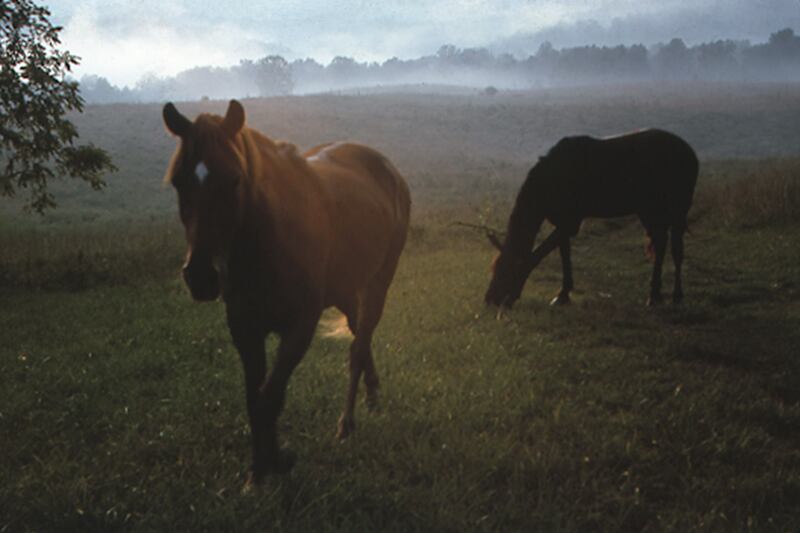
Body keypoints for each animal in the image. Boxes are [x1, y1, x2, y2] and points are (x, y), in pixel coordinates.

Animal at [163, 98, 412, 482]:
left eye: (234, 180)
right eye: (178, 181)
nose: (201, 276)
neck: (269, 240)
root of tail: (388, 168)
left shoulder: (299, 327)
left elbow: (271, 396)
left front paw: (274, 463)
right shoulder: (245, 329)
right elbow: (255, 399)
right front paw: (259, 469)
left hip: (378, 283)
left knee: (358, 347)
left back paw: (347, 422)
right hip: (345, 290)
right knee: (360, 335)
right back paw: (372, 394)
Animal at [484, 129, 696, 310]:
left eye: (505, 272)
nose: (490, 299)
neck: (550, 179)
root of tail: (690, 153)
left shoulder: (570, 222)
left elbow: (547, 250)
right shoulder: (563, 220)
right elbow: (564, 251)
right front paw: (563, 294)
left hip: (674, 209)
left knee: (675, 248)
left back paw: (673, 296)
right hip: (650, 211)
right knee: (661, 243)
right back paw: (656, 295)